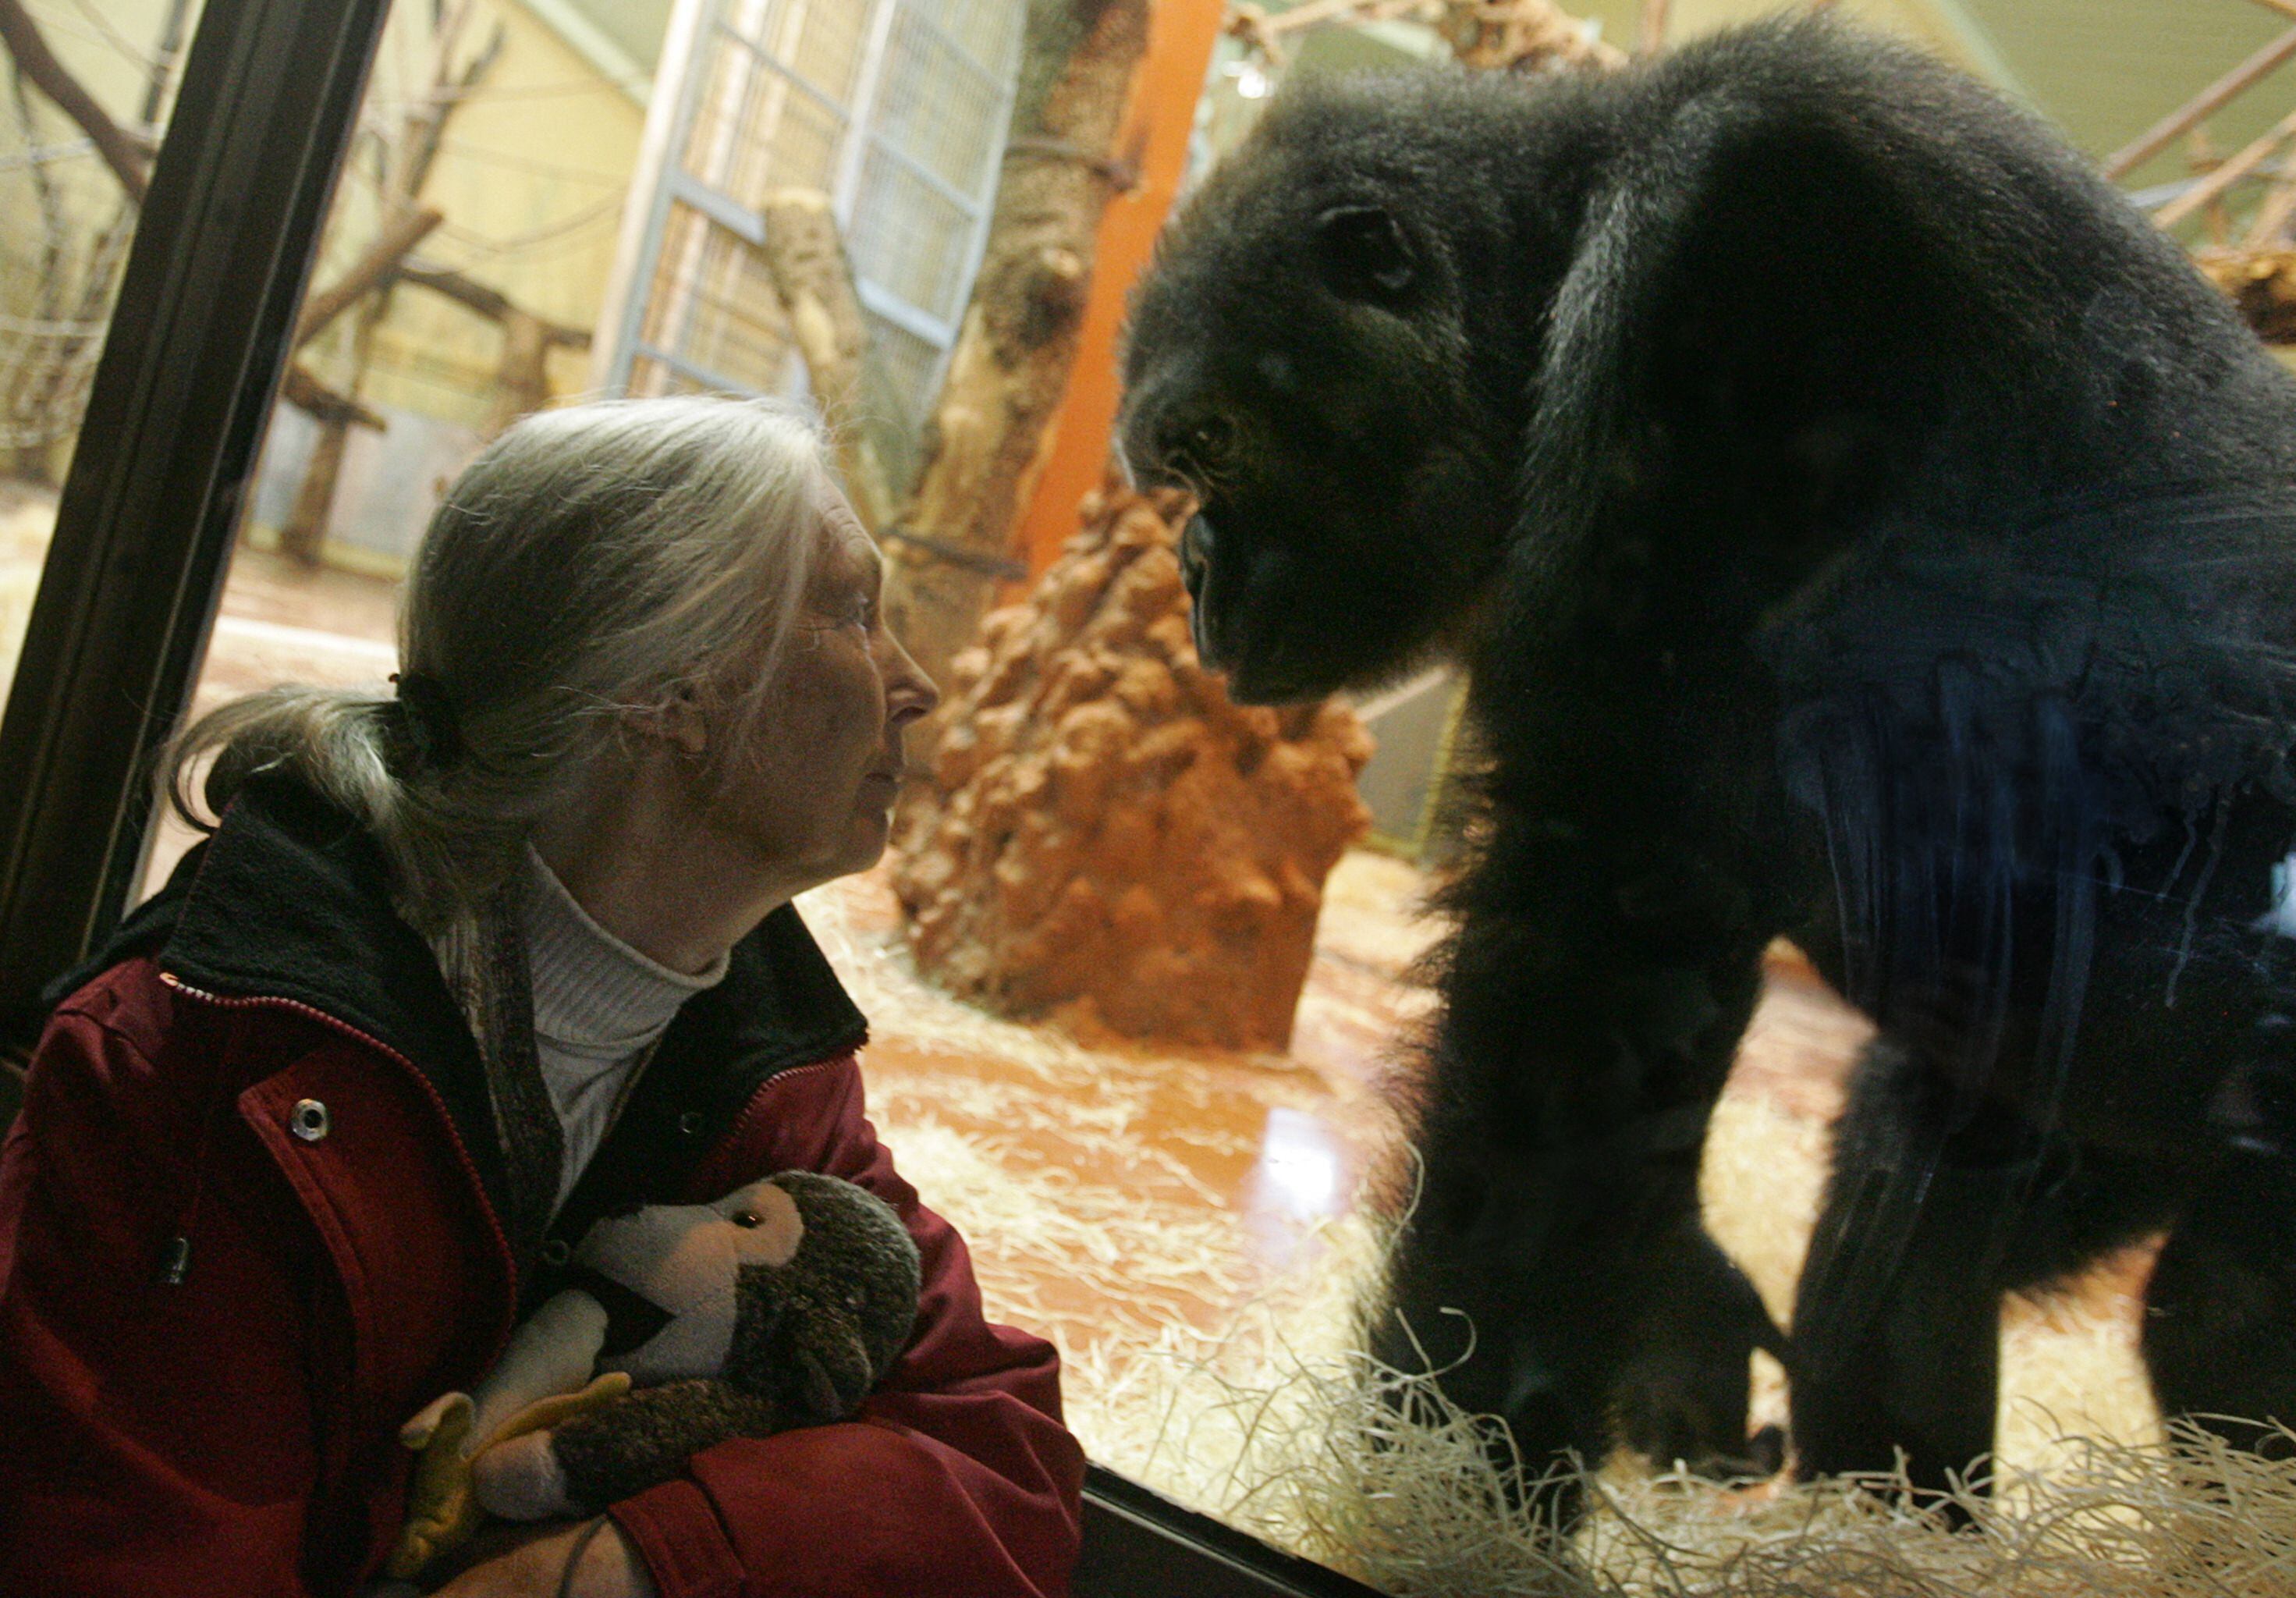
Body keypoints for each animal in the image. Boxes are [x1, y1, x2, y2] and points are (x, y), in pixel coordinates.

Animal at [1120, 12, 2296, 1506]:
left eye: (1212, 443)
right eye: (1175, 465)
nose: (1194, 571)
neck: (1564, 240)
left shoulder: (1734, 261)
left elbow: (1587, 970)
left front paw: (1450, 1481)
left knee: (2216, 1308)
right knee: (1946, 1183)